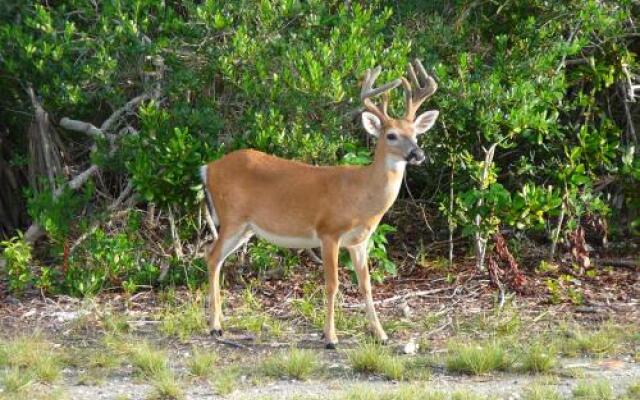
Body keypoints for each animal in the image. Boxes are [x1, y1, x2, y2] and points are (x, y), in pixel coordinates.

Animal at [201, 58, 440, 346]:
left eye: (416, 133)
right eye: (391, 135)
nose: (418, 154)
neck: (362, 195)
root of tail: (207, 168)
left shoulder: (359, 241)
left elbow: (366, 285)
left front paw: (381, 335)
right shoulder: (329, 232)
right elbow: (332, 284)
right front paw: (331, 337)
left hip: (246, 227)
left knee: (215, 258)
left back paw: (220, 323)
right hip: (232, 217)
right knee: (212, 255)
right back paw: (214, 327)